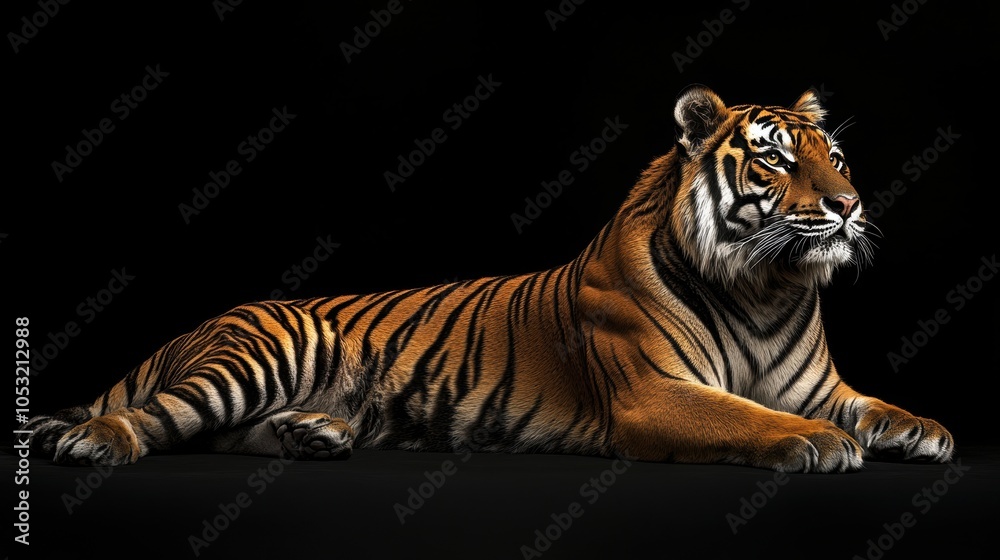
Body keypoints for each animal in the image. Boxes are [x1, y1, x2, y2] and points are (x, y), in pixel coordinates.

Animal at [24, 86, 954, 472]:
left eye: (835, 157)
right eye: (775, 158)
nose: (848, 205)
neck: (767, 289)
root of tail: (195, 326)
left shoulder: (821, 384)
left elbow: (871, 405)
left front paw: (923, 430)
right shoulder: (653, 395)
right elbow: (745, 417)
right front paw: (817, 445)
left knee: (212, 435)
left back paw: (316, 435)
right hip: (256, 357)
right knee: (160, 417)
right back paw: (97, 442)